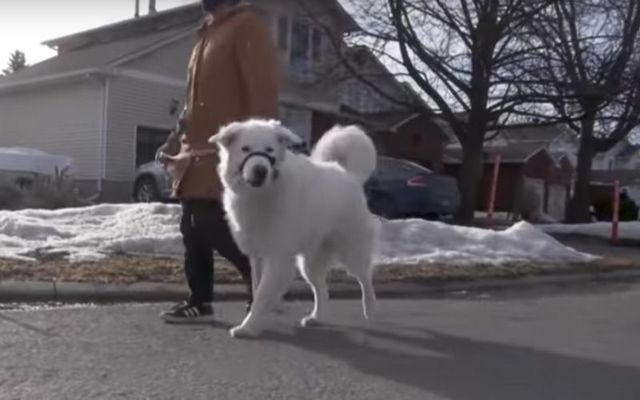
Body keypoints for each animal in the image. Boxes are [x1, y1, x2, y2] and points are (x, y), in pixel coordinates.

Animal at [210, 118, 380, 338]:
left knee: (365, 278)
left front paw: (248, 326)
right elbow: (257, 289)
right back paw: (316, 318)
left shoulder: (277, 259)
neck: (263, 193)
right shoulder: (257, 257)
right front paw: (264, 314)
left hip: (351, 252)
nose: (260, 170)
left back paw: (370, 309)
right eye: (245, 149)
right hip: (309, 264)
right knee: (322, 290)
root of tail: (347, 173)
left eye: (270, 150)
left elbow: (261, 295)